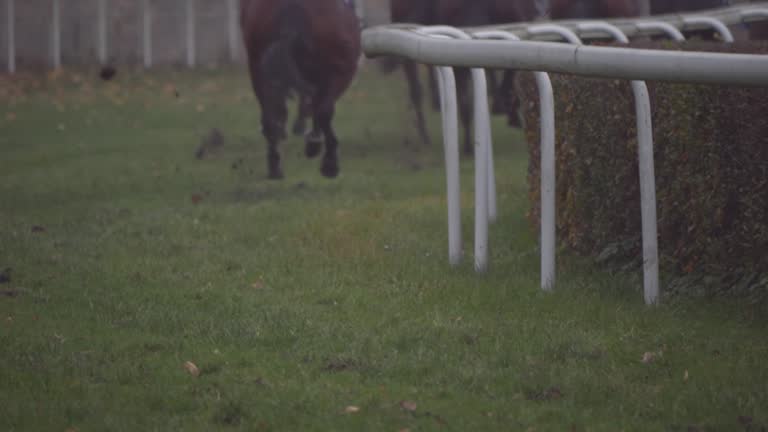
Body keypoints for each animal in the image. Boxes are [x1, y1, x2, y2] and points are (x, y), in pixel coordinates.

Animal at [240, 0, 361, 179]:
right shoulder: (338, 70)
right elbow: (320, 107)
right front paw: (316, 145)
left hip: (257, 66)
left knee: (270, 116)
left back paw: (275, 165)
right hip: (341, 66)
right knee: (322, 109)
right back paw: (328, 161)